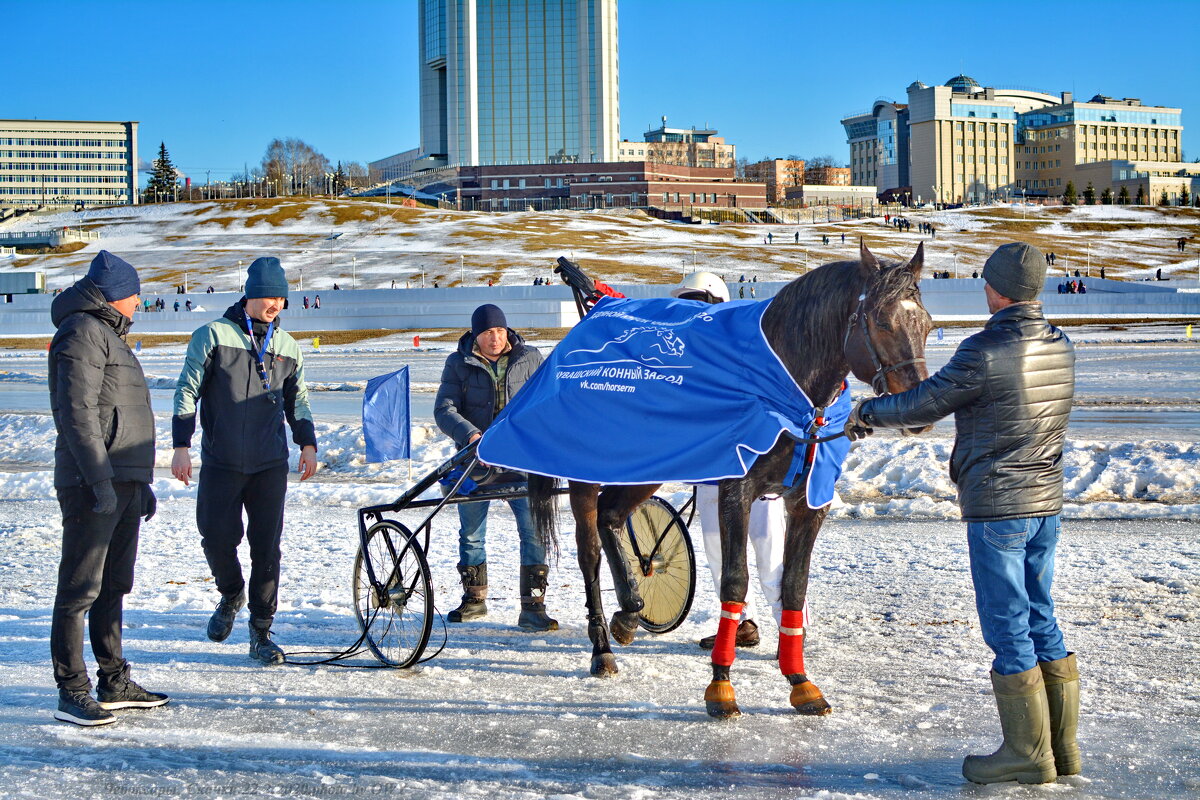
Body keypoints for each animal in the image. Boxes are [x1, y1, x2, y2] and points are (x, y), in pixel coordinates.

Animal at [530, 242, 931, 719]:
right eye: (883, 322)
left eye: (927, 325)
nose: (917, 412)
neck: (784, 391)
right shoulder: (735, 491)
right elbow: (734, 581)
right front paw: (721, 685)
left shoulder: (808, 501)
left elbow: (792, 585)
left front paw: (799, 680)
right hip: (586, 471)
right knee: (589, 551)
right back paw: (602, 647)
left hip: (647, 466)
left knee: (612, 517)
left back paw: (630, 610)